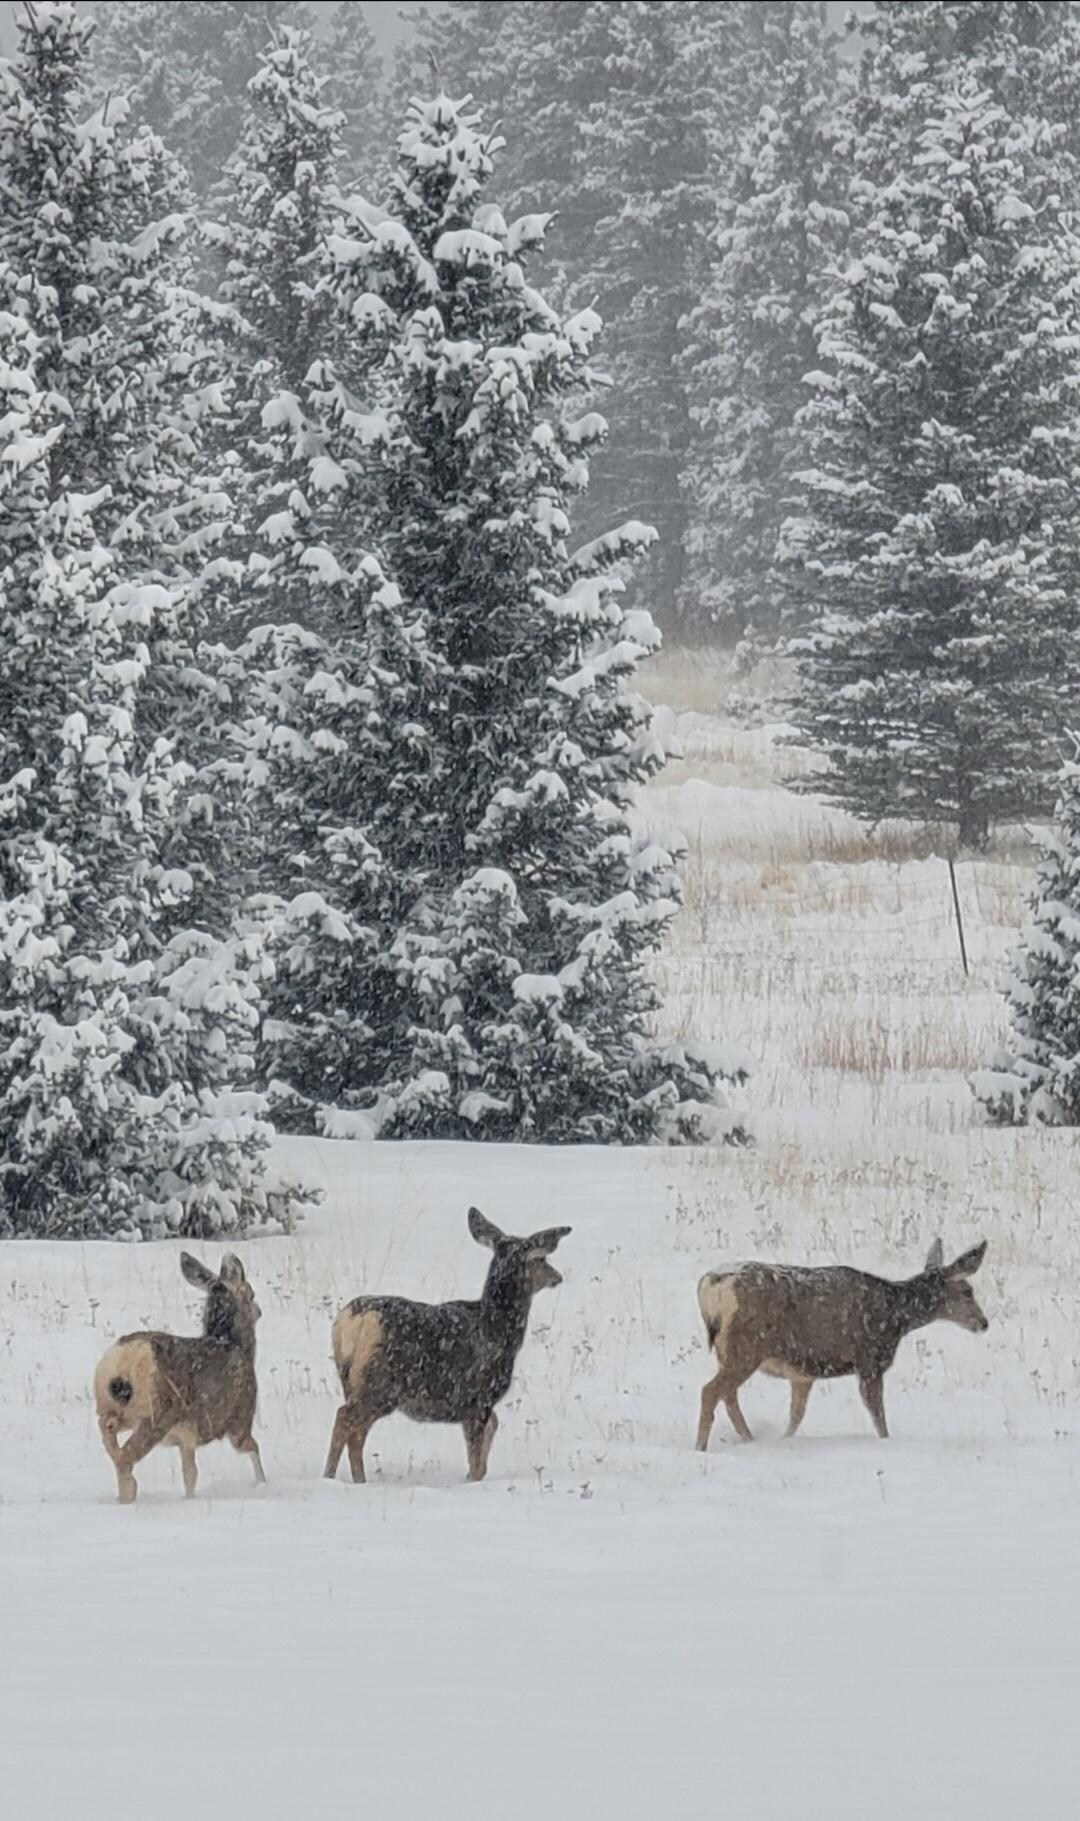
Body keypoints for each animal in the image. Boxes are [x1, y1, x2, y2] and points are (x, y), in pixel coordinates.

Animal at [93, 1253, 265, 1504]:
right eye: (250, 1293)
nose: (259, 1310)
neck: (235, 1344)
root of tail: (122, 1362)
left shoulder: (186, 1438)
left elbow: (190, 1475)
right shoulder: (238, 1419)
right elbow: (253, 1449)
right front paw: (263, 1484)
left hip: (110, 1408)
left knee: (111, 1438)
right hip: (157, 1414)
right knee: (125, 1457)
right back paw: (129, 1494)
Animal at [324, 1207, 570, 1486]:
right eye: (541, 1259)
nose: (557, 1276)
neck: (500, 1329)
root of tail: (351, 1321)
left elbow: (489, 1434)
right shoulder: (479, 1396)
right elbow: (476, 1455)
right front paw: (474, 1480)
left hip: (352, 1381)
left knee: (350, 1426)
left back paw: (340, 1478)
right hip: (378, 1382)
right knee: (348, 1422)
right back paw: (348, 1478)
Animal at [695, 1238, 988, 1450]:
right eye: (967, 1291)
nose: (983, 1323)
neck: (895, 1316)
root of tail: (711, 1284)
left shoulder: (804, 1374)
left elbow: (796, 1417)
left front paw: (784, 1441)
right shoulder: (871, 1362)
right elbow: (878, 1416)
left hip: (728, 1351)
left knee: (728, 1394)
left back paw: (748, 1439)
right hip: (746, 1348)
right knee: (711, 1391)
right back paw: (701, 1447)